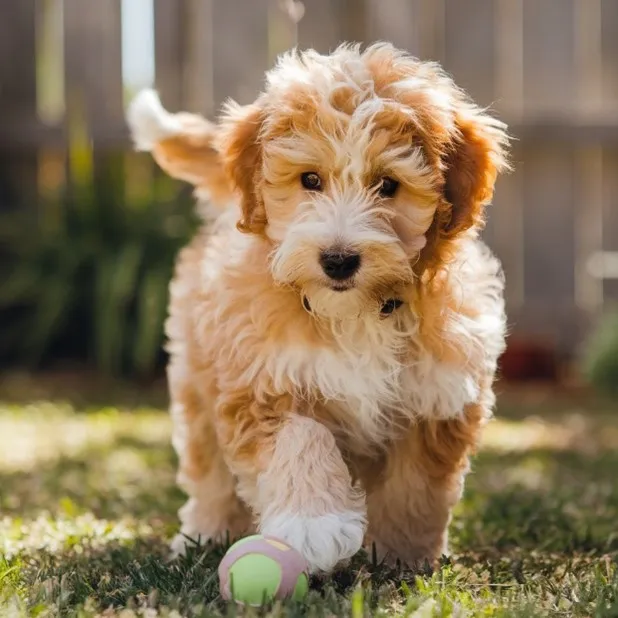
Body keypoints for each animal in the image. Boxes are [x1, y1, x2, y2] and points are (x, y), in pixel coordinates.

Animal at [127, 43, 508, 572]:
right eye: (310, 179)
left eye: (388, 185)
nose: (338, 260)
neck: (357, 315)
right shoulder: (263, 378)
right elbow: (299, 439)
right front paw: (314, 526)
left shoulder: (436, 399)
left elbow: (415, 489)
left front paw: (403, 557)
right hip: (198, 376)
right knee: (209, 470)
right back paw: (205, 534)